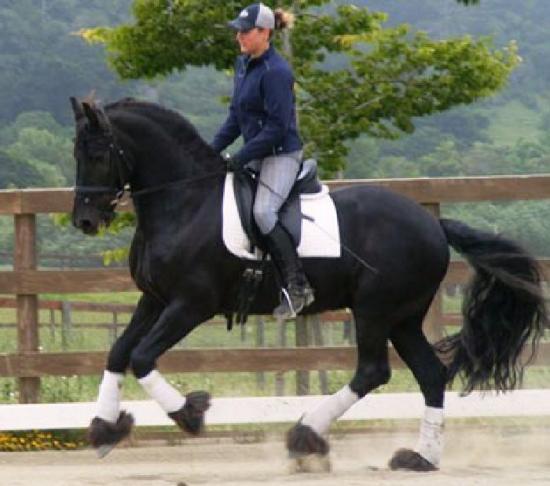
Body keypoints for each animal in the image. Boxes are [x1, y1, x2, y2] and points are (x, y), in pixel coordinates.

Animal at [70, 97, 548, 472]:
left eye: (98, 153)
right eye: (77, 153)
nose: (85, 221)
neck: (185, 203)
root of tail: (433, 224)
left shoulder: (192, 303)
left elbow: (142, 356)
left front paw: (190, 414)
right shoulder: (154, 299)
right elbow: (119, 352)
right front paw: (106, 428)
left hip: (374, 310)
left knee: (373, 371)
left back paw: (305, 437)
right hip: (403, 318)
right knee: (431, 374)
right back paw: (419, 458)